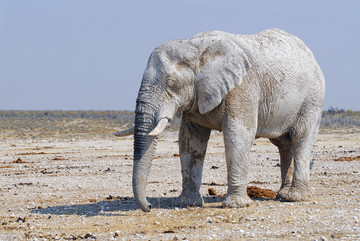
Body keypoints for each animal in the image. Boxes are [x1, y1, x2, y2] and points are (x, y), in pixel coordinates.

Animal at [116, 29, 326, 212]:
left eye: (171, 83)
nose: (150, 206)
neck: (196, 47)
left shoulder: (242, 87)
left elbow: (238, 135)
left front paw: (235, 205)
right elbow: (190, 141)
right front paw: (187, 203)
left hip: (312, 98)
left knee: (301, 138)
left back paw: (294, 198)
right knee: (284, 144)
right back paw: (282, 195)